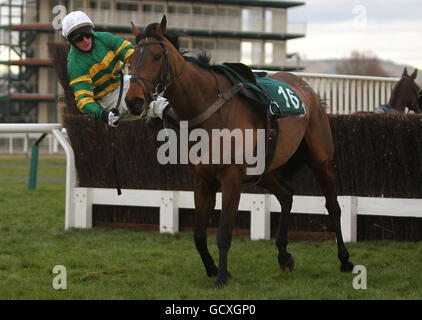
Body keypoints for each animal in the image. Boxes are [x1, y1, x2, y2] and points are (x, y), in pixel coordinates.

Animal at [124, 16, 352, 288]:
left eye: (157, 56)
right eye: (130, 59)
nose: (133, 100)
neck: (208, 109)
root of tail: (307, 87)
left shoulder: (231, 177)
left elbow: (223, 233)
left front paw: (221, 277)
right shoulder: (203, 179)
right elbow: (199, 235)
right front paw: (213, 269)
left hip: (321, 159)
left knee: (333, 206)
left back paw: (345, 259)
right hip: (265, 168)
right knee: (287, 195)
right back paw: (284, 255)